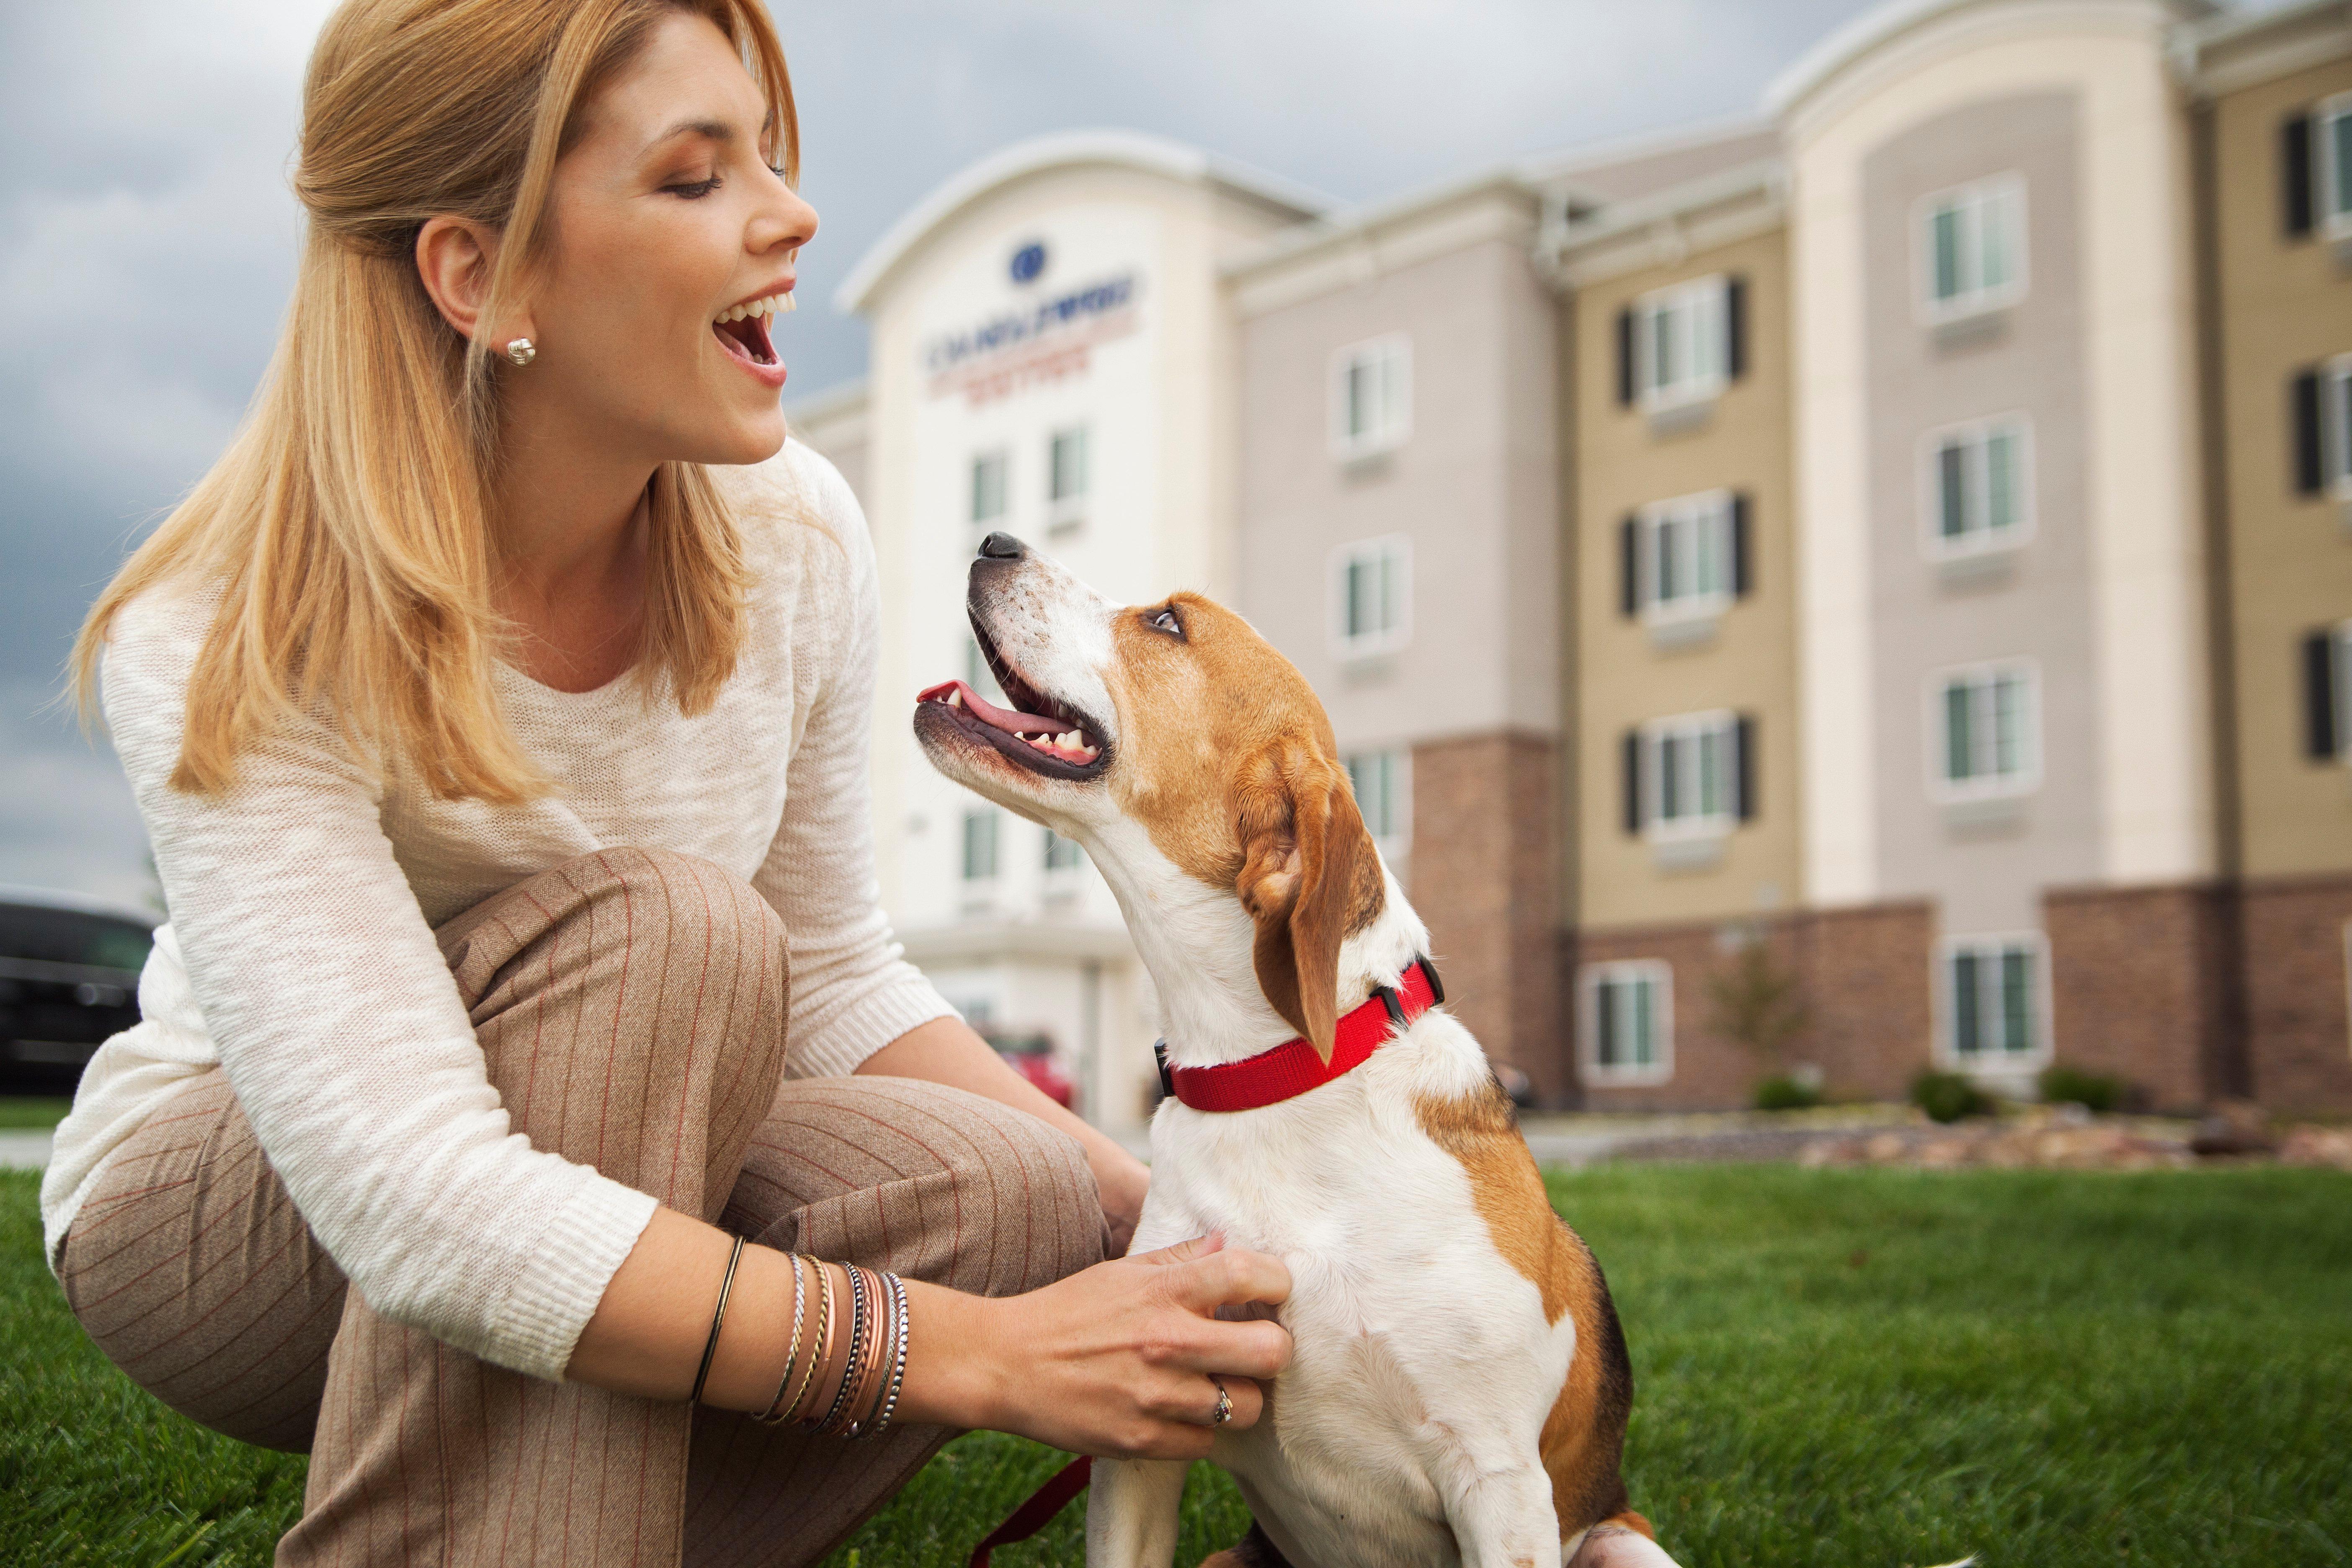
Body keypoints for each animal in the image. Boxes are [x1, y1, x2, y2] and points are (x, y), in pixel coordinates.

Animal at [913, 536, 1674, 1568]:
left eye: (1167, 623)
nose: (996, 542)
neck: (1275, 1084)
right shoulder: (1143, 1442)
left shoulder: (1500, 1481)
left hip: (1624, 1542)